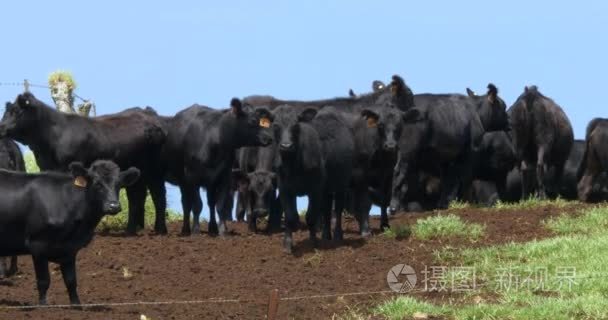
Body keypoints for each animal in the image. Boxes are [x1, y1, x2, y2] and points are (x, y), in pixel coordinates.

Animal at [0, 92, 167, 235]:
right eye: (6, 112)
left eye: (16, 111)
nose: (1, 127)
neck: (54, 135)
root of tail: (148, 115)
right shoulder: (46, 167)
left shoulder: (67, 167)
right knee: (138, 196)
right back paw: (134, 229)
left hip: (154, 170)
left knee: (157, 196)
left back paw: (158, 230)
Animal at [0, 160, 139, 304]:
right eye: (97, 183)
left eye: (119, 184)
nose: (114, 206)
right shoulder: (37, 245)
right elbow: (43, 281)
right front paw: (43, 306)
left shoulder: (69, 249)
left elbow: (71, 281)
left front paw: (76, 305)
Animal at [164, 98, 274, 235]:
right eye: (252, 121)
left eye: (261, 121)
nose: (269, 137)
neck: (214, 139)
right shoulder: (192, 177)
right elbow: (197, 205)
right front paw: (196, 231)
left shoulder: (224, 176)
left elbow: (220, 205)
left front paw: (222, 231)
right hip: (183, 181)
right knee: (186, 204)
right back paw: (186, 230)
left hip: (210, 182)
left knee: (210, 203)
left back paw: (212, 228)